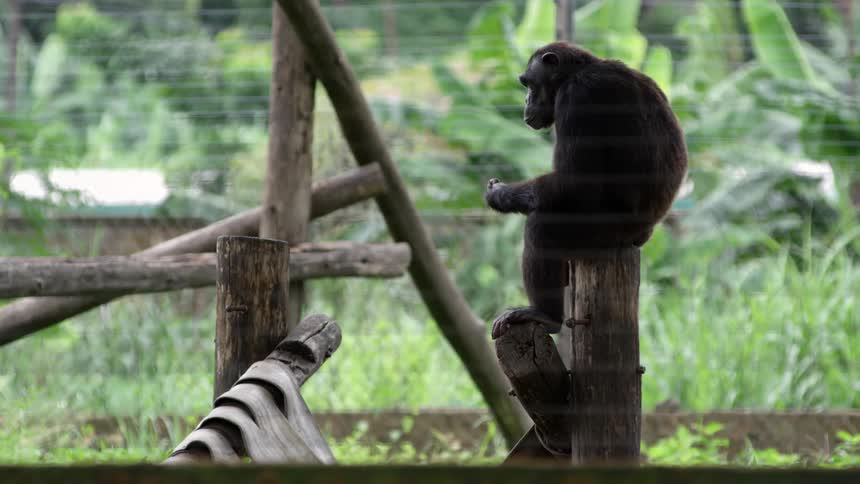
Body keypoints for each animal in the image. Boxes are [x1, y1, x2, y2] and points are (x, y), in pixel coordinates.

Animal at [485, 42, 687, 339]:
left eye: (529, 83)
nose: (526, 100)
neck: (576, 72)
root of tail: (641, 234)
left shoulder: (576, 97)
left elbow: (575, 181)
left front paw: (501, 194)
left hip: (597, 233)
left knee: (542, 227)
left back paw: (545, 315)